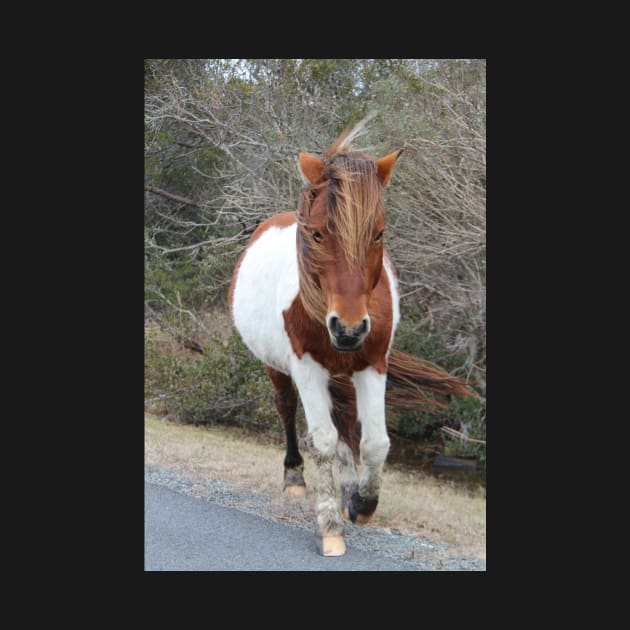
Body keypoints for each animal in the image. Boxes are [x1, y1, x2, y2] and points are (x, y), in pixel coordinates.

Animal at [230, 119, 472, 556]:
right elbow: (323, 441)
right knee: (287, 409)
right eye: (317, 235)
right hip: (277, 368)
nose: (348, 329)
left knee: (345, 426)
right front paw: (329, 527)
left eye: (378, 234)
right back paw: (295, 479)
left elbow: (375, 442)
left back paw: (346, 487)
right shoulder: (306, 367)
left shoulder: (372, 366)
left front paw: (361, 502)